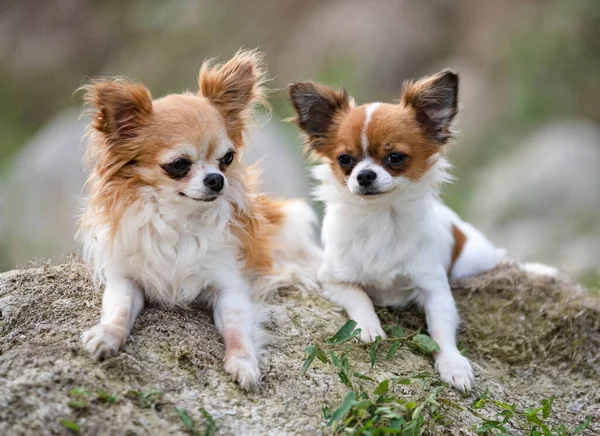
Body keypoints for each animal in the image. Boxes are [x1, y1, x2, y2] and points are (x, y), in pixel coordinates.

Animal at [81, 50, 324, 388]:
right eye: (179, 165)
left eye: (227, 159)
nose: (216, 180)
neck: (180, 218)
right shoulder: (125, 280)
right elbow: (118, 309)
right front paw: (106, 335)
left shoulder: (229, 286)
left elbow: (236, 328)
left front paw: (243, 362)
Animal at [288, 70, 556, 390]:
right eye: (345, 160)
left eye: (395, 157)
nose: (364, 175)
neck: (381, 217)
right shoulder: (332, 278)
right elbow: (360, 298)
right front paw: (368, 327)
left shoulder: (435, 289)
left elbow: (441, 332)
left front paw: (453, 364)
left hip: (474, 261)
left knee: (503, 260)